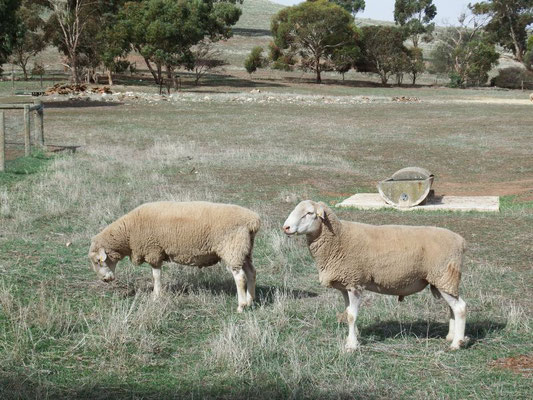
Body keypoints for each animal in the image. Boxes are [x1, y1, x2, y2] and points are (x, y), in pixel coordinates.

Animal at [89, 202, 260, 310]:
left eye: (98, 261)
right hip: (245, 250)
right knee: (251, 273)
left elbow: (156, 276)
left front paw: (156, 296)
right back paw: (250, 301)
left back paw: (241, 306)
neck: (128, 233)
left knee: (240, 277)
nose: (105, 280)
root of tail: (253, 221)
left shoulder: (153, 251)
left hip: (232, 248)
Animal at [282, 200, 466, 350]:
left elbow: (351, 315)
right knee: (452, 307)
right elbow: (348, 312)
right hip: (442, 281)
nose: (286, 227)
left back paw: (456, 343)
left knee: (460, 308)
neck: (339, 238)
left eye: (309, 213)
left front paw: (351, 345)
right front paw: (354, 336)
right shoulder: (345, 285)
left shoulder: (355, 282)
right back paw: (450, 336)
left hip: (444, 276)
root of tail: (461, 241)